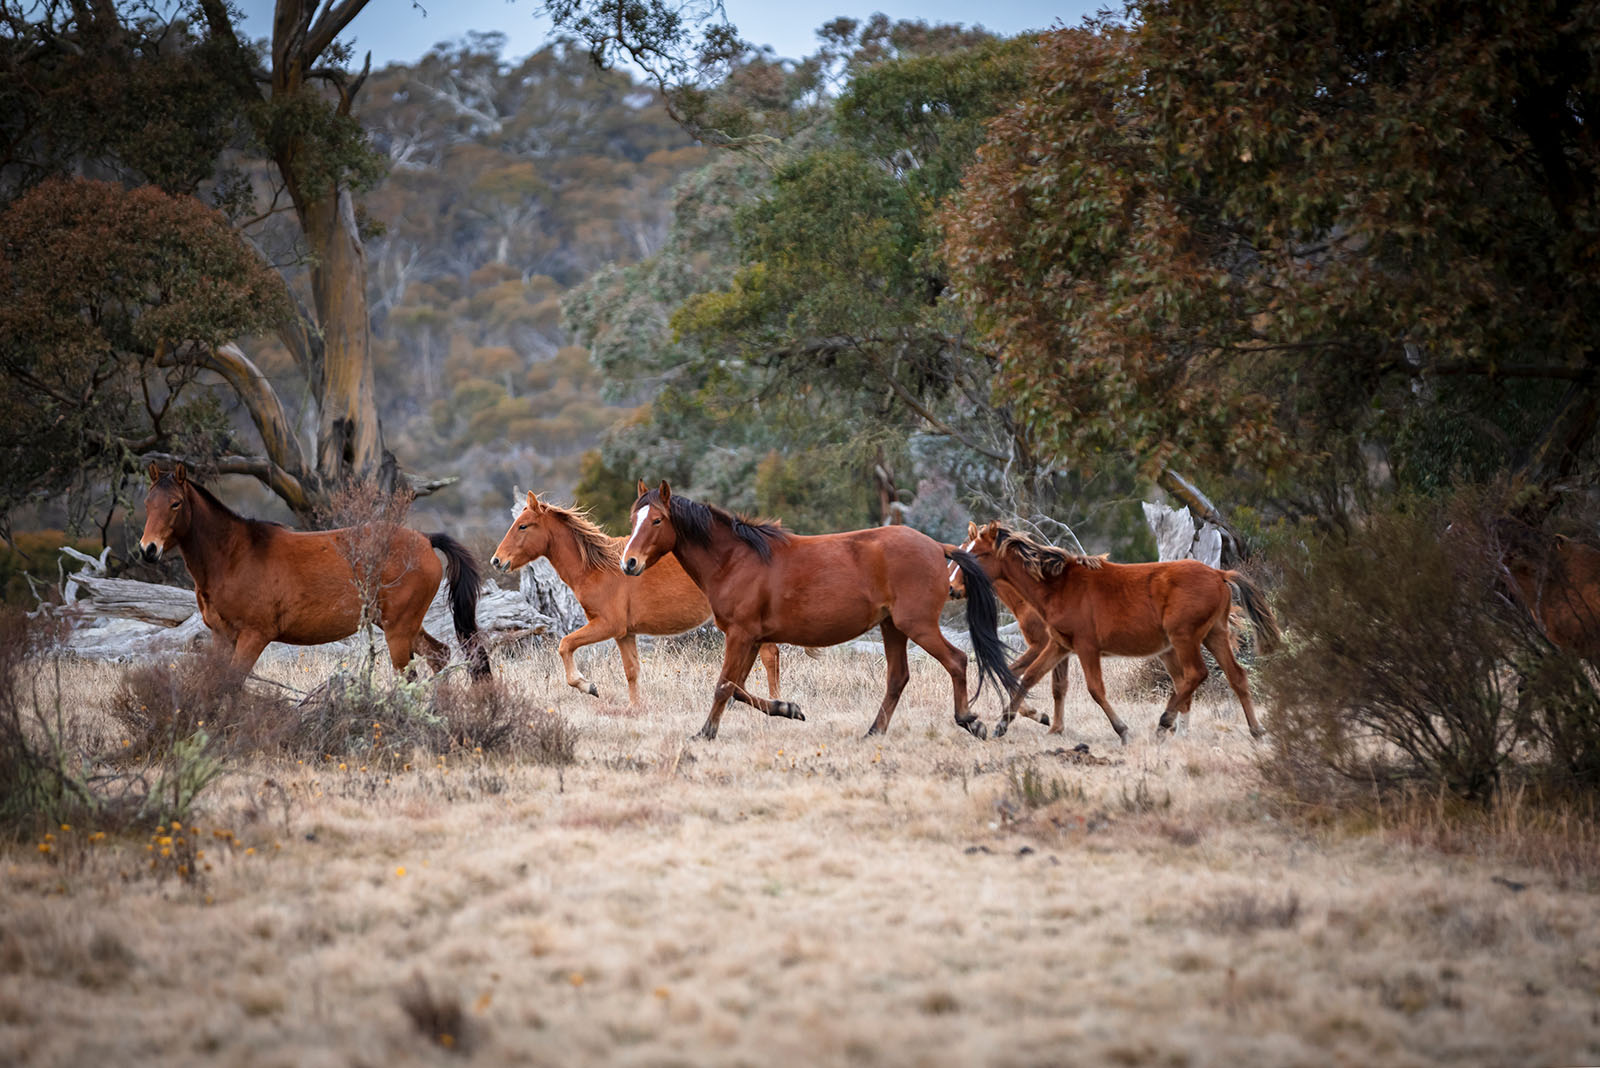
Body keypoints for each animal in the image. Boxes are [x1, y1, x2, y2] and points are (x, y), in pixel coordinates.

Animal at [137, 463, 486, 681]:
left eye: (176, 503)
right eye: (147, 503)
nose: (148, 549)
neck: (235, 554)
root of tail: (425, 540)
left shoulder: (254, 636)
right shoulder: (221, 637)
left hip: (398, 630)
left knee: (411, 675)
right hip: (400, 626)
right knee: (438, 656)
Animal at [486, 492, 787, 709]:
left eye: (523, 526)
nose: (497, 561)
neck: (598, 568)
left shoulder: (607, 625)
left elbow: (565, 645)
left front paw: (587, 685)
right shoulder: (624, 634)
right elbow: (631, 670)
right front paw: (635, 707)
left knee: (770, 656)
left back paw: (775, 701)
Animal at [617, 482, 1017, 738]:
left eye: (657, 520)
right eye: (633, 520)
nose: (629, 563)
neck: (735, 560)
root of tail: (937, 546)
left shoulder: (741, 635)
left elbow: (723, 686)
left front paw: (705, 733)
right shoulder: (752, 639)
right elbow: (738, 688)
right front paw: (788, 708)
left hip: (916, 625)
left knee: (957, 661)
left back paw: (970, 721)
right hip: (892, 627)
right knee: (898, 677)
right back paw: (874, 732)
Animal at [953, 518, 1280, 738]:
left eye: (978, 555)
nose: (954, 589)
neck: (1058, 586)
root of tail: (1219, 574)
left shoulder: (1086, 646)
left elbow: (1095, 689)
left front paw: (1122, 729)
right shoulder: (1059, 645)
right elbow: (1030, 678)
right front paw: (1003, 723)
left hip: (1184, 638)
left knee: (1195, 674)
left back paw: (1165, 723)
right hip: (1215, 634)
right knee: (1236, 676)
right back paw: (1256, 730)